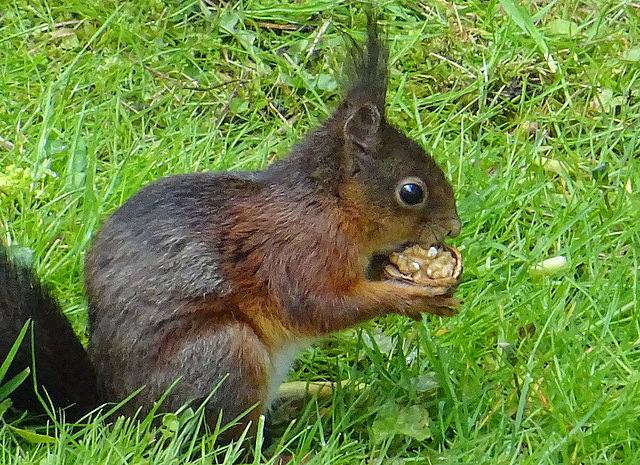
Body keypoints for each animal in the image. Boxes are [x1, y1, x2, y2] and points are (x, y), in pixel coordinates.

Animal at [1, 15, 461, 442]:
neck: (328, 205)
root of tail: (117, 417)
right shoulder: (297, 252)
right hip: (224, 357)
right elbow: (319, 306)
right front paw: (411, 298)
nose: (454, 228)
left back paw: (318, 391)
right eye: (411, 192)